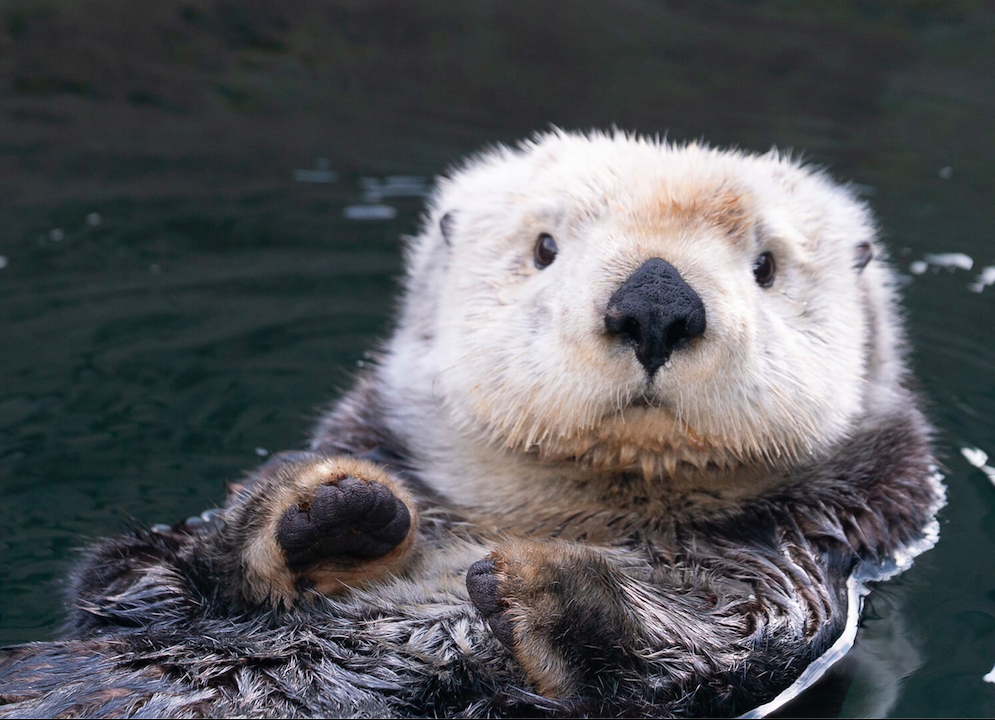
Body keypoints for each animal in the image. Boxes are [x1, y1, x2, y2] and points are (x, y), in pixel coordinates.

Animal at [0, 131, 943, 718]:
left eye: (765, 266)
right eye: (544, 248)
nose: (655, 302)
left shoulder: (791, 576)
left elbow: (707, 649)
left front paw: (545, 588)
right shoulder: (138, 598)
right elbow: (136, 575)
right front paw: (327, 510)